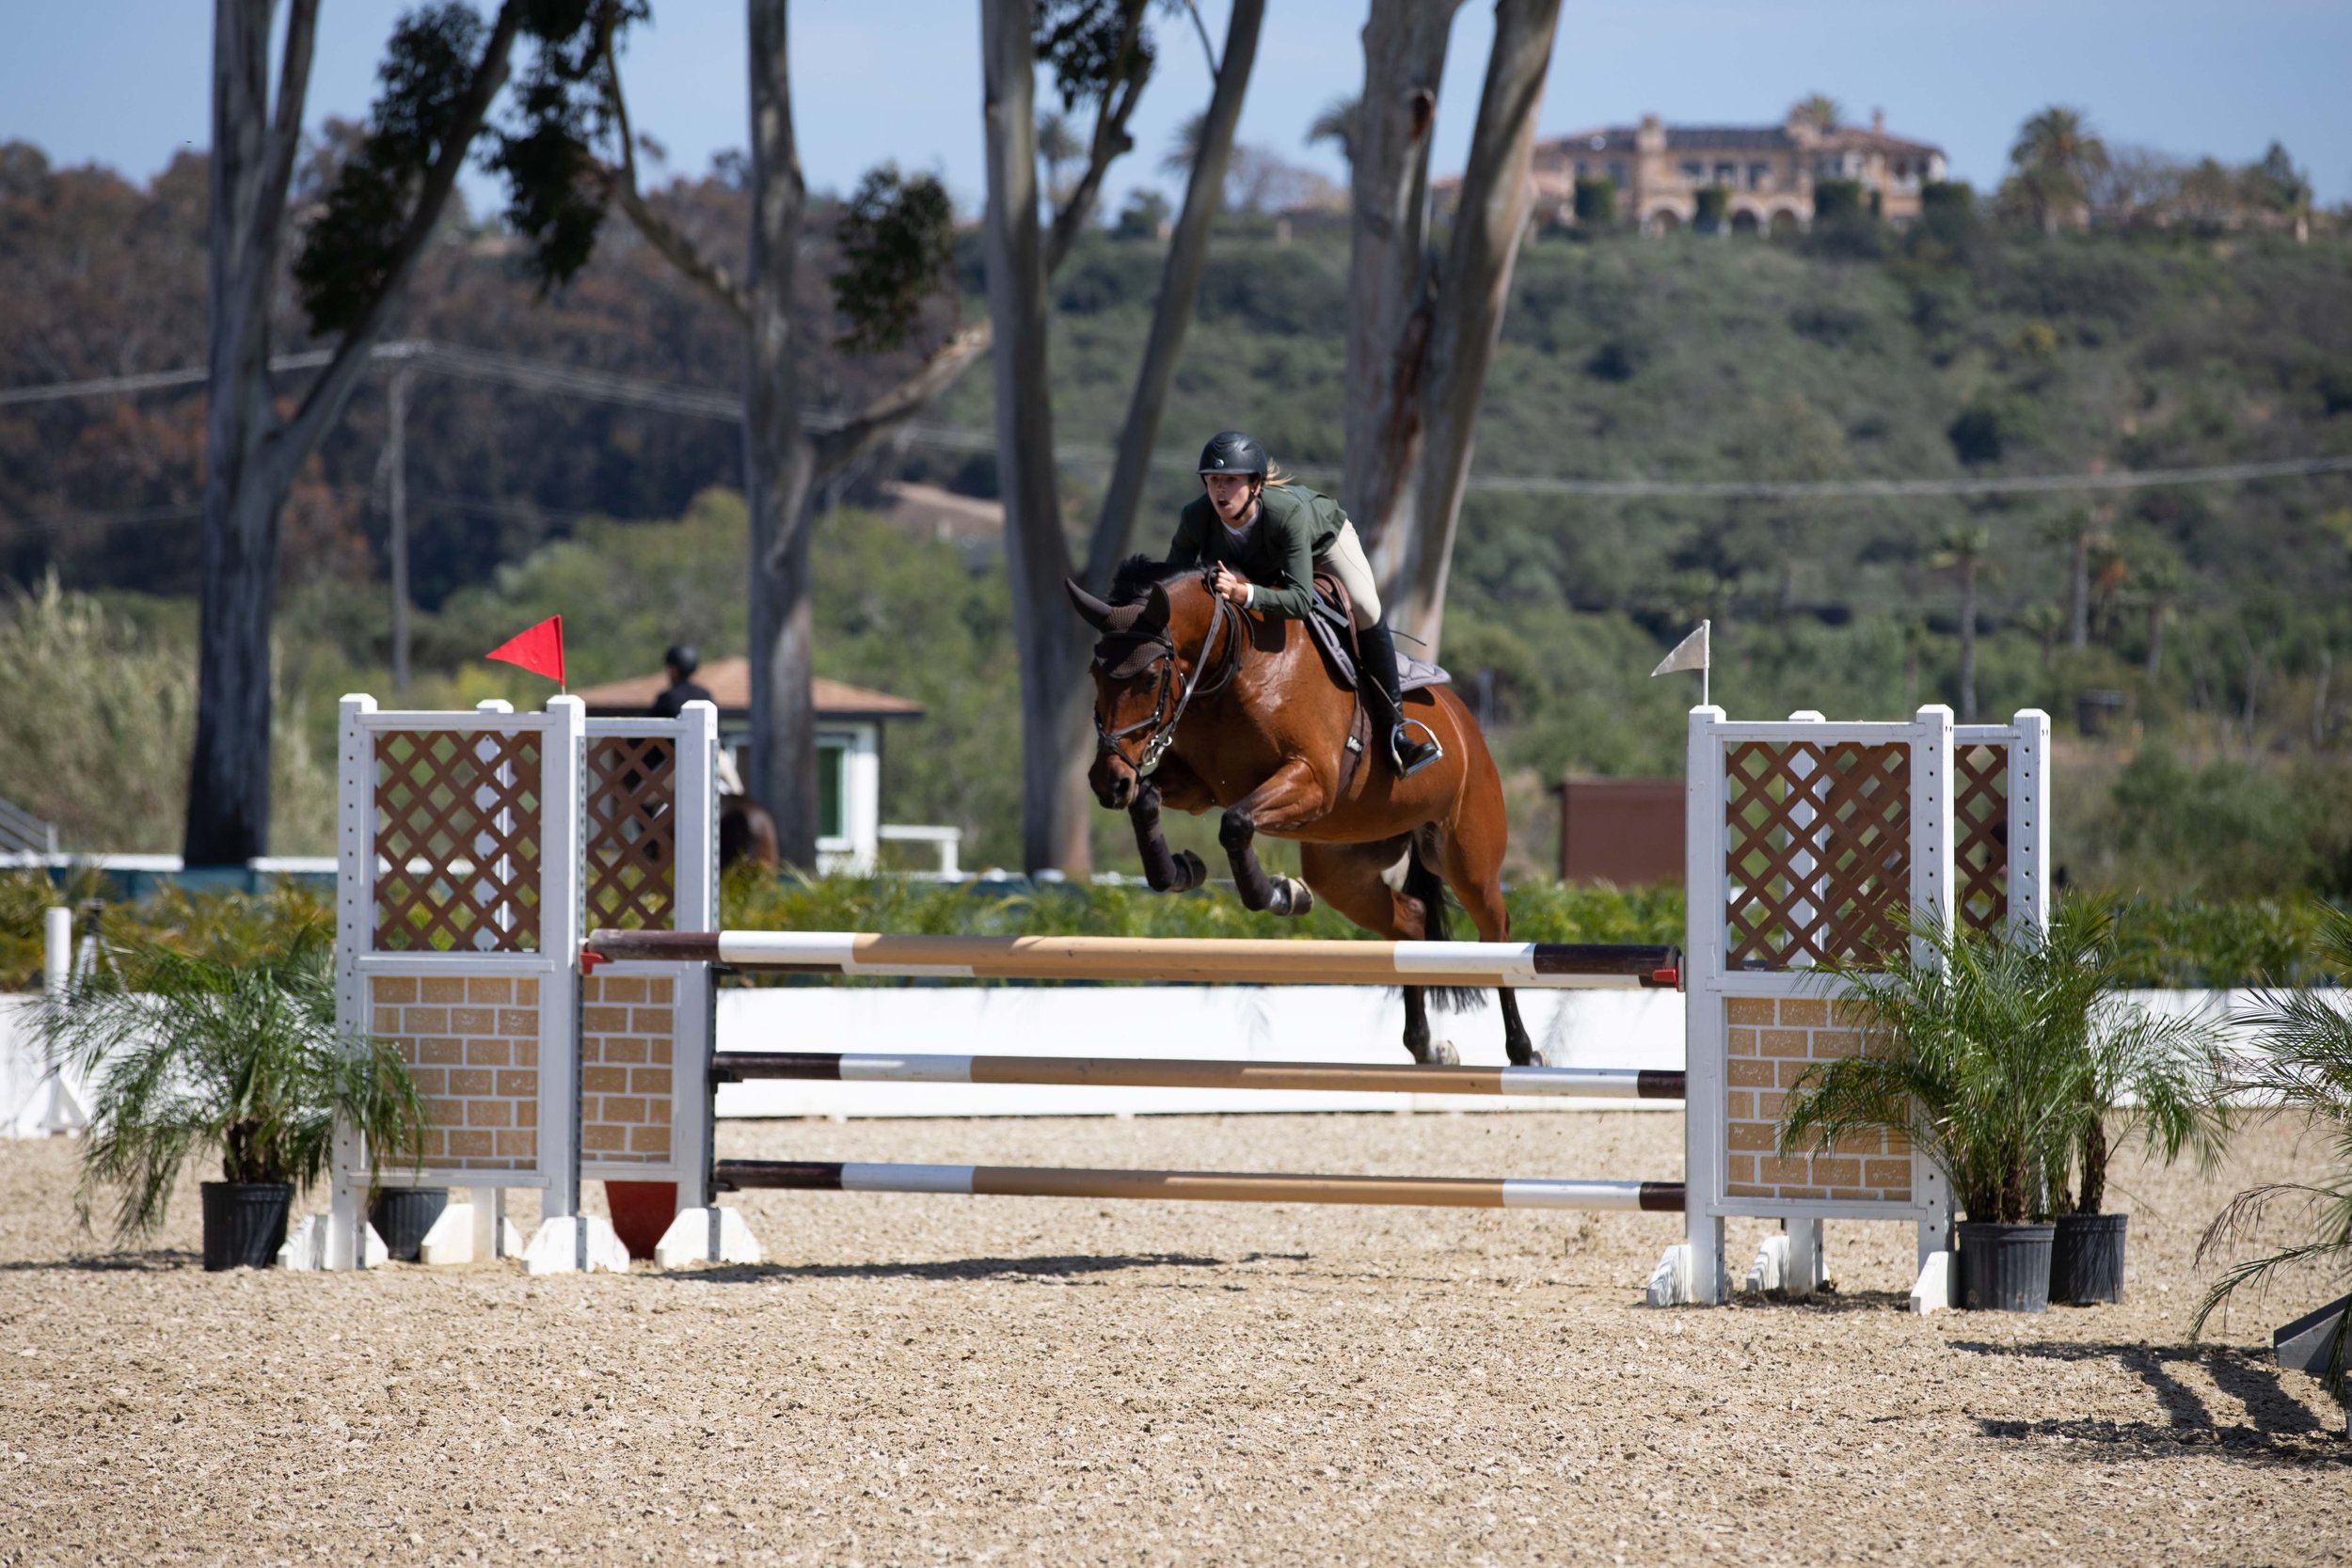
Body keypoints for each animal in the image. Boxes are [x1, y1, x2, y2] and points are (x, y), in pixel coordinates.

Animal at [1064, 559, 1534, 1067]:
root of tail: (1468, 725)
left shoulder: (1309, 782)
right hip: (1342, 869)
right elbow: (1150, 799)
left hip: (1465, 858)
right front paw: (1180, 871)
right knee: (1410, 918)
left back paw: (1523, 1051)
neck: (1234, 665)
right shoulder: (1201, 787)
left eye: (1150, 678)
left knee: (1496, 932)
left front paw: (1279, 894)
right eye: (1093, 673)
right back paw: (1427, 1046)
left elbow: (1236, 824)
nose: (1107, 782)